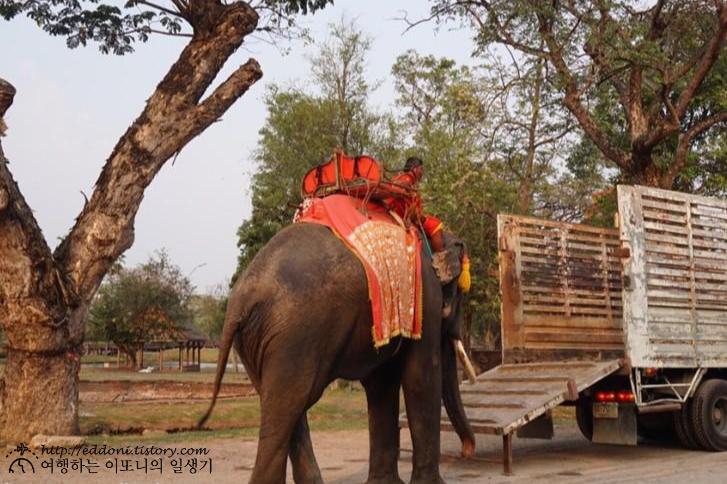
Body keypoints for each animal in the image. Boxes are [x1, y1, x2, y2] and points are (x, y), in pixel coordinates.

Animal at [199, 221, 476, 484]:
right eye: (461, 297)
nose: (466, 451)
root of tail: (240, 300)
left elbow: (382, 384)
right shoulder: (424, 297)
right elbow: (421, 378)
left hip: (258, 342)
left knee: (286, 403)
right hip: (297, 334)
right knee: (288, 404)